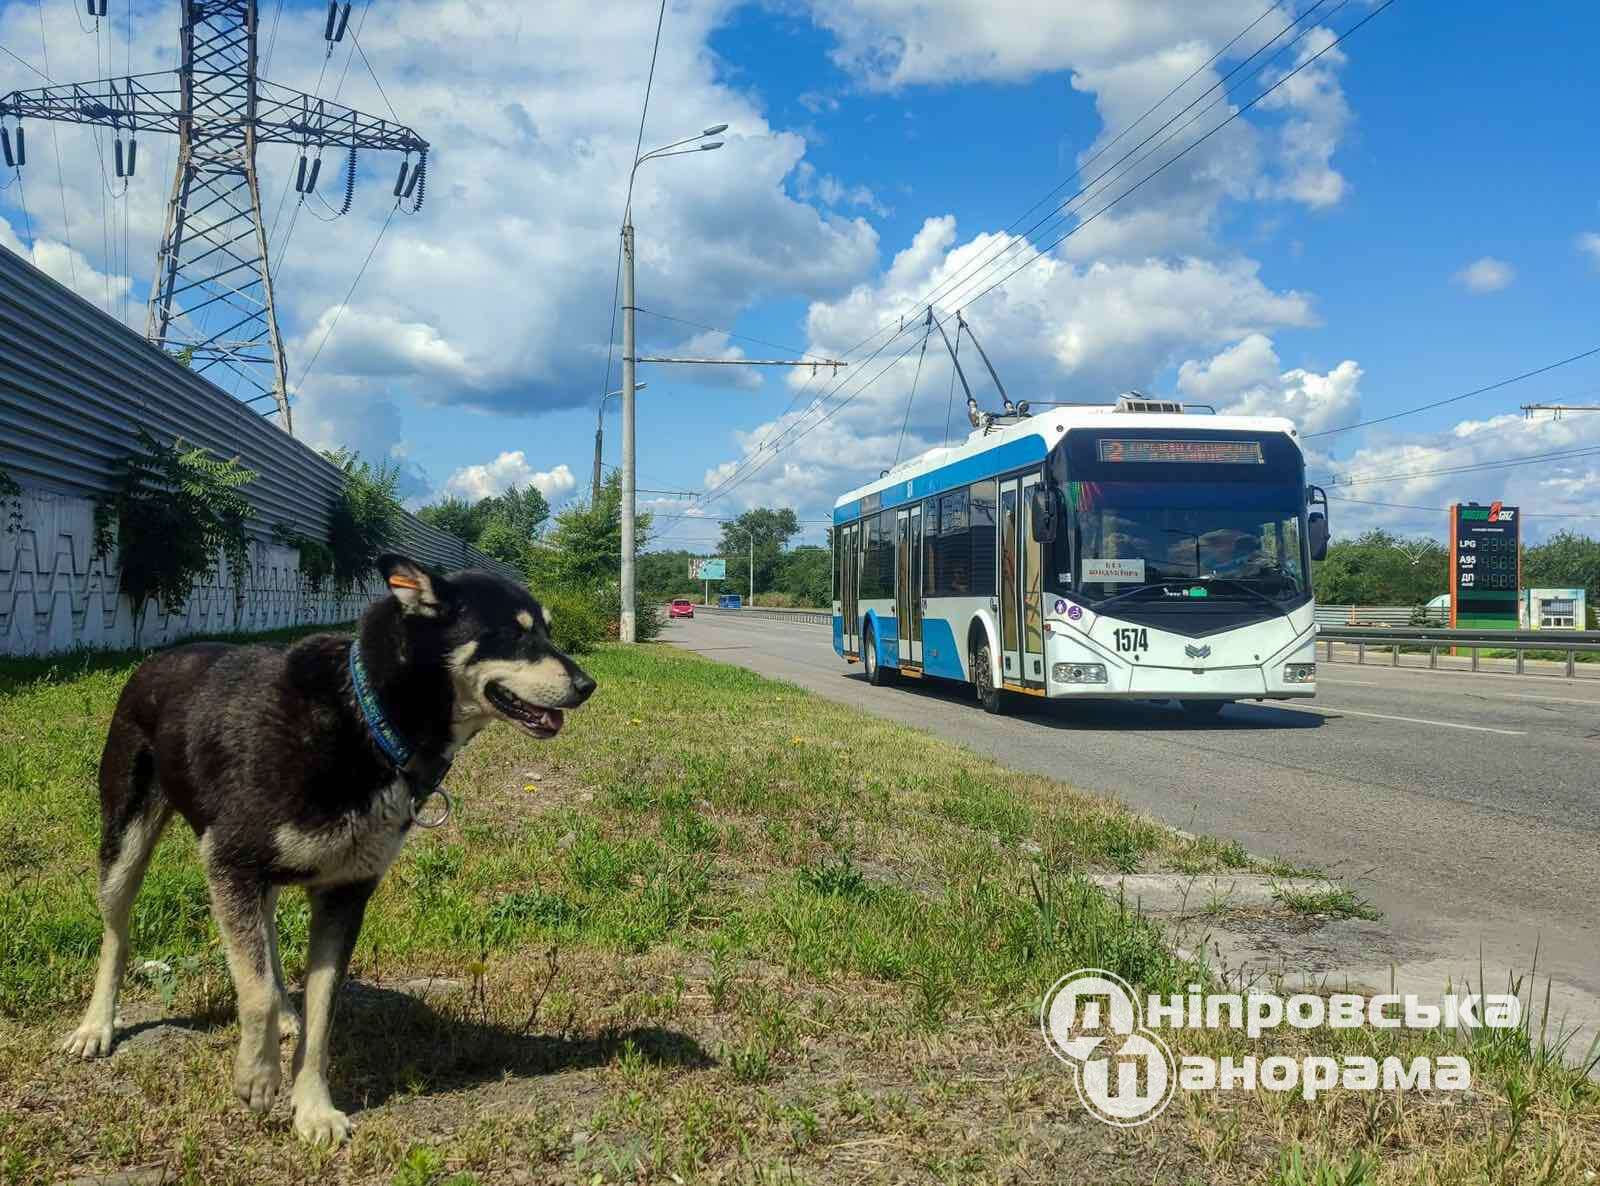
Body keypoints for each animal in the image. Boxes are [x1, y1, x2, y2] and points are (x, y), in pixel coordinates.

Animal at [62, 553, 601, 1139]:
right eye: (513, 634)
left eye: (546, 630)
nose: (587, 684)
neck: (366, 716)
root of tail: (156, 658)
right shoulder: (229, 863)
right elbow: (253, 992)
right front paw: (257, 1076)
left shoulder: (345, 893)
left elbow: (322, 1012)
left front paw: (314, 1107)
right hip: (126, 841)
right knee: (117, 935)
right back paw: (97, 1025)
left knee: (266, 942)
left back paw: (285, 1012)